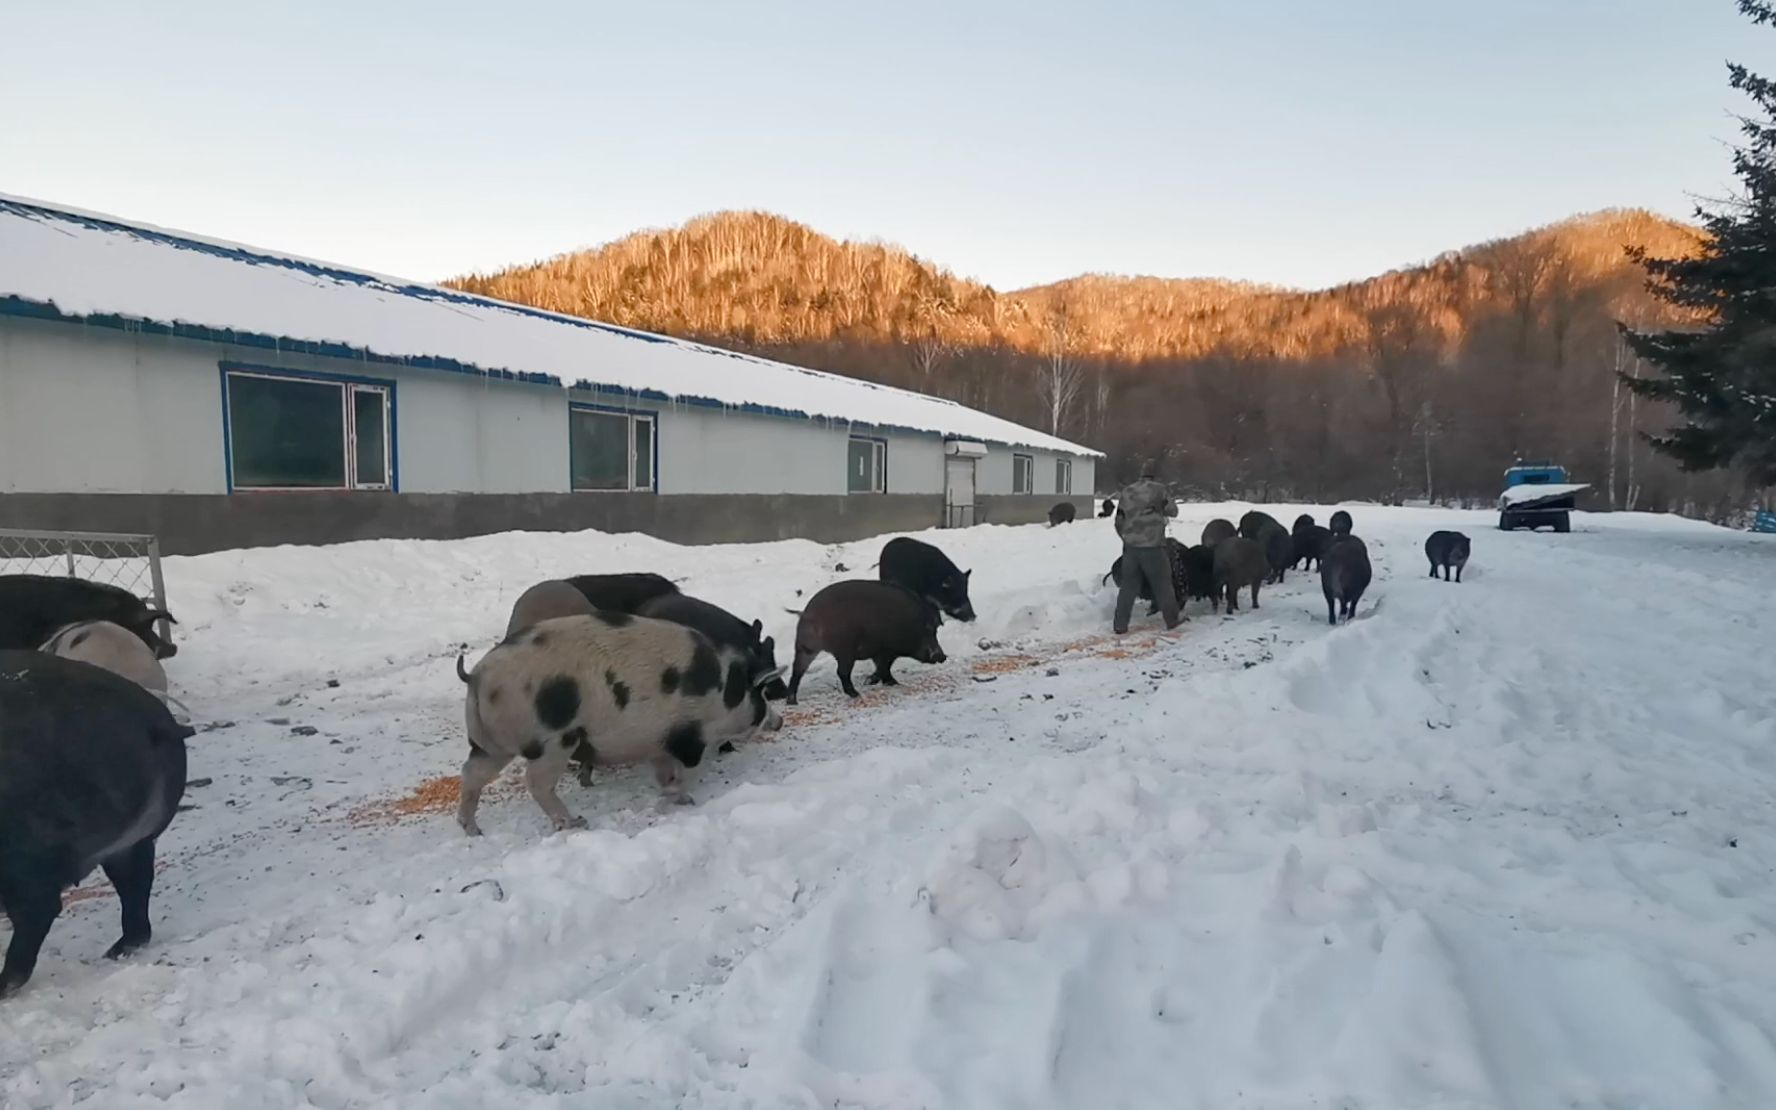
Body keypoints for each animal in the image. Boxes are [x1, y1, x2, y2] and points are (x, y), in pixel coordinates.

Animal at [451, 610, 777, 834]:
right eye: (760, 693)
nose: (778, 722)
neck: (725, 690)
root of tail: (478, 676)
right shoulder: (689, 735)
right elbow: (687, 769)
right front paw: (682, 796)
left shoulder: (656, 740)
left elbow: (663, 770)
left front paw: (673, 794)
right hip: (554, 740)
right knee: (536, 782)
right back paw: (576, 822)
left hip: (490, 744)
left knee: (472, 773)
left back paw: (473, 830)